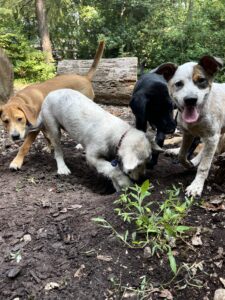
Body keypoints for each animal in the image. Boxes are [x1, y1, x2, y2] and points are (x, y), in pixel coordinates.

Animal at [0, 41, 105, 170]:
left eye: (20, 119)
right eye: (5, 121)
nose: (15, 136)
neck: (24, 99)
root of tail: (84, 77)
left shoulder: (35, 129)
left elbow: (24, 146)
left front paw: (16, 162)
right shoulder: (44, 123)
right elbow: (47, 136)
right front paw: (49, 147)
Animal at [155, 55, 225, 197]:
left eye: (201, 80)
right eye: (178, 84)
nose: (190, 100)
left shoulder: (212, 136)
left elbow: (204, 166)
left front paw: (196, 186)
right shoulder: (188, 134)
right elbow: (182, 155)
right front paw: (188, 163)